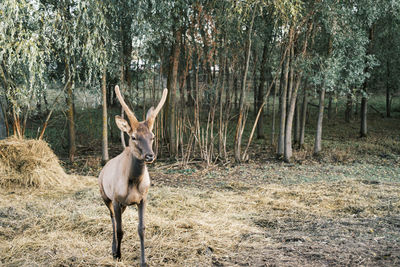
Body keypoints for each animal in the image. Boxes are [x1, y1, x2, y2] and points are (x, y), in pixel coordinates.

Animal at [100, 85, 169, 266]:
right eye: (133, 136)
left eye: (152, 136)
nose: (150, 155)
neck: (133, 183)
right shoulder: (116, 199)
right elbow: (120, 229)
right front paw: (118, 255)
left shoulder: (143, 198)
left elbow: (141, 229)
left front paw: (144, 261)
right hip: (105, 196)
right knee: (112, 219)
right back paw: (113, 248)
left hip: (122, 204)